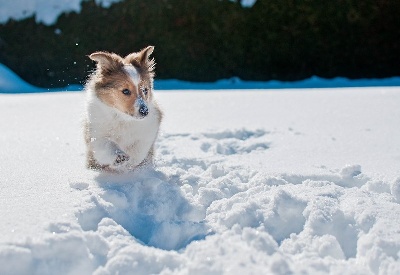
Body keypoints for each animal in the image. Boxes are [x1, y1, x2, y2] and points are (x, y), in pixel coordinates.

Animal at [83, 46, 162, 174]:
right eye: (125, 91)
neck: (123, 118)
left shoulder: (149, 130)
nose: (145, 111)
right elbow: (106, 145)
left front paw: (129, 164)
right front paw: (119, 157)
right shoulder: (95, 134)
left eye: (145, 90)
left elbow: (139, 150)